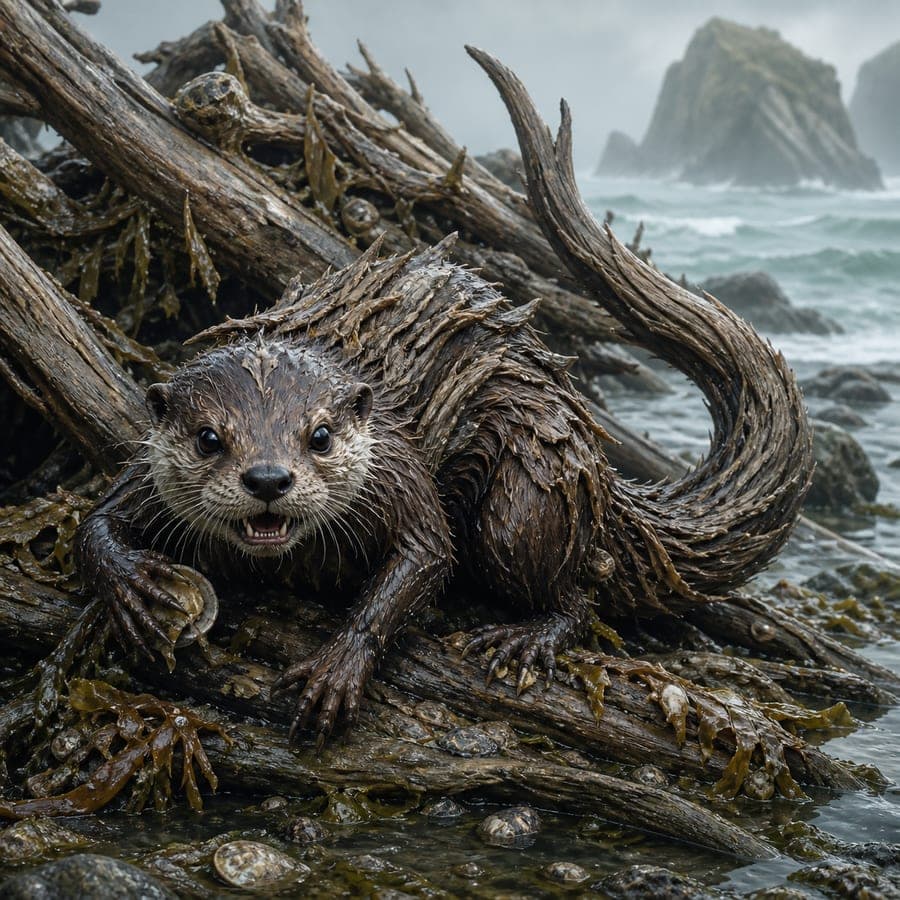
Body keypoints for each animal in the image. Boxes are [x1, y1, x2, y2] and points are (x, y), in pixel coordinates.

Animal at [76, 55, 813, 743]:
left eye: (320, 435)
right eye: (209, 438)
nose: (267, 479)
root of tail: (597, 464)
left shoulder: (395, 467)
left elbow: (427, 553)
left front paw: (338, 667)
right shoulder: (147, 467)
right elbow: (96, 519)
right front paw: (132, 585)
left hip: (531, 492)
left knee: (574, 589)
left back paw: (525, 638)